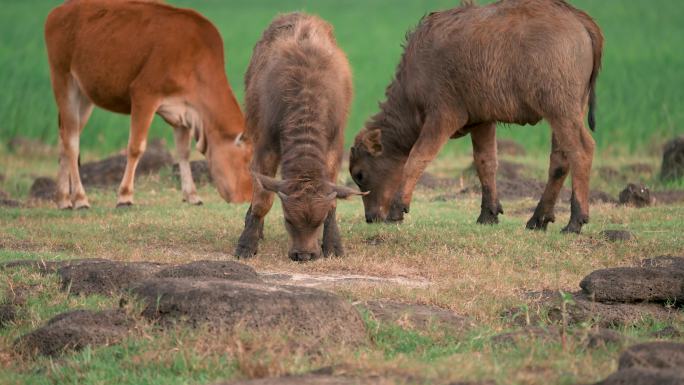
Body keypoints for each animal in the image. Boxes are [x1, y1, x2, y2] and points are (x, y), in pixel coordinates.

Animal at [46, 0, 254, 208]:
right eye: (248, 162)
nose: (246, 197)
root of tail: (60, 9)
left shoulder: (182, 111)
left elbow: (183, 152)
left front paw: (192, 195)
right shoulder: (144, 94)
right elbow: (136, 147)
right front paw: (125, 196)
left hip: (85, 95)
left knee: (65, 137)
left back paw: (63, 199)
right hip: (63, 79)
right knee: (72, 141)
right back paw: (80, 199)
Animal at [234, 13, 364, 262]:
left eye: (318, 221)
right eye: (288, 219)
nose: (304, 255)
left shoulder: (334, 145)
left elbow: (332, 202)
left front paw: (333, 244)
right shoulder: (266, 145)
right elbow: (262, 199)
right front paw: (246, 244)